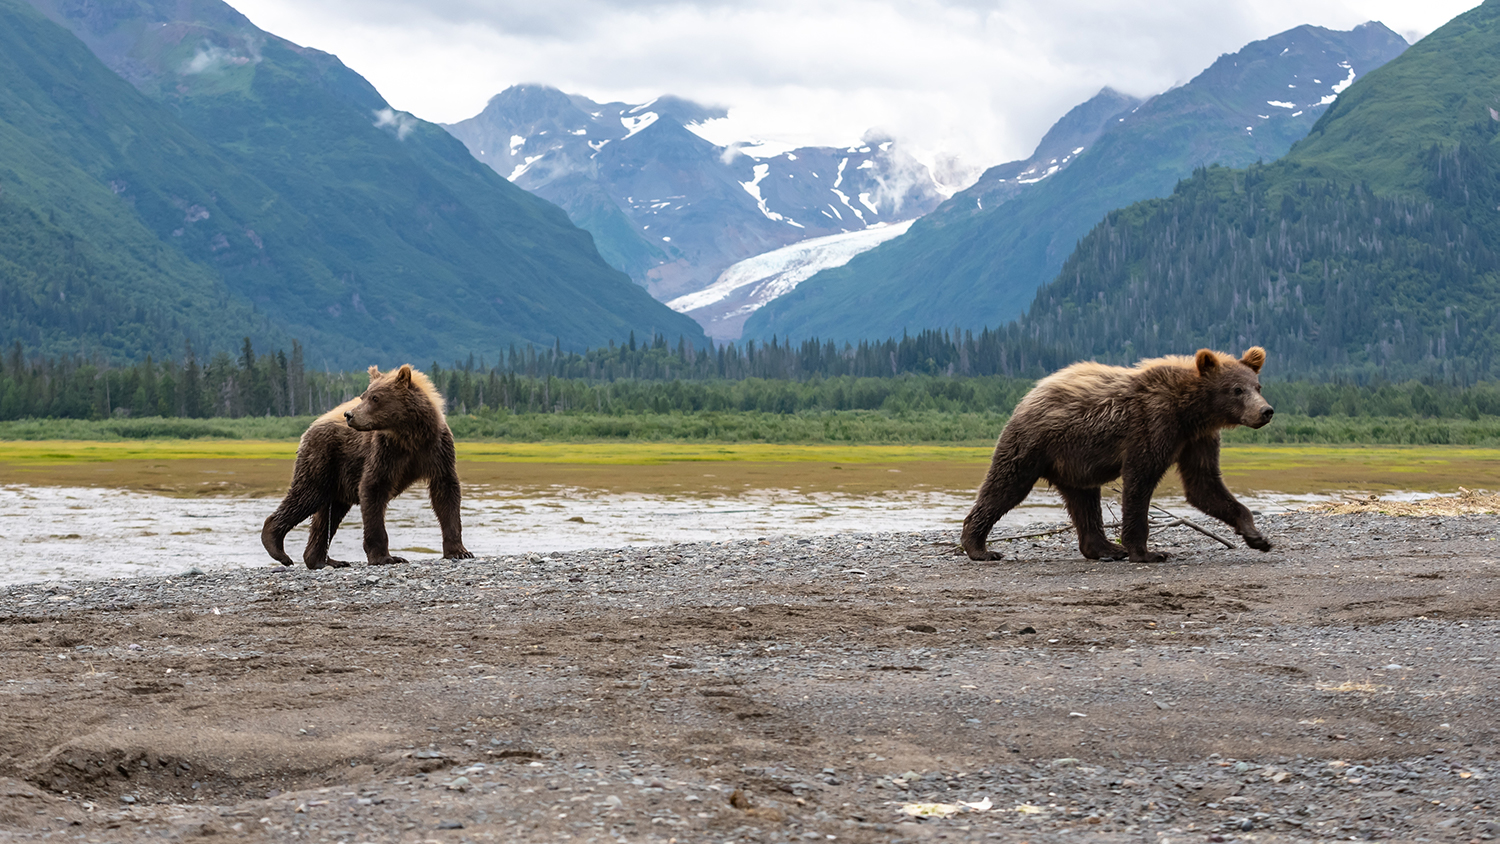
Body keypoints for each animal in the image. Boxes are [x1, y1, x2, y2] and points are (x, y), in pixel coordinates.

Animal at [258, 364, 468, 572]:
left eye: (375, 398)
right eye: (363, 396)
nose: (349, 415)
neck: (410, 435)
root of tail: (313, 425)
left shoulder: (436, 451)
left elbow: (446, 493)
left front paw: (459, 551)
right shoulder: (385, 452)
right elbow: (373, 489)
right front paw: (386, 557)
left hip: (337, 477)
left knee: (327, 514)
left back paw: (324, 560)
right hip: (324, 459)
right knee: (307, 495)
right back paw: (277, 546)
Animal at [960, 346, 1278, 563]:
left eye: (1257, 385)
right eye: (1236, 389)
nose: (1266, 410)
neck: (1189, 412)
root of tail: (1030, 394)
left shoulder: (1197, 439)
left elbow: (1204, 484)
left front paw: (1257, 536)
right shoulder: (1153, 424)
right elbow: (1140, 480)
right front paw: (1147, 552)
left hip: (1074, 461)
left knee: (1084, 500)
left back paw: (1106, 548)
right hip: (1034, 443)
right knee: (1006, 485)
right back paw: (979, 547)